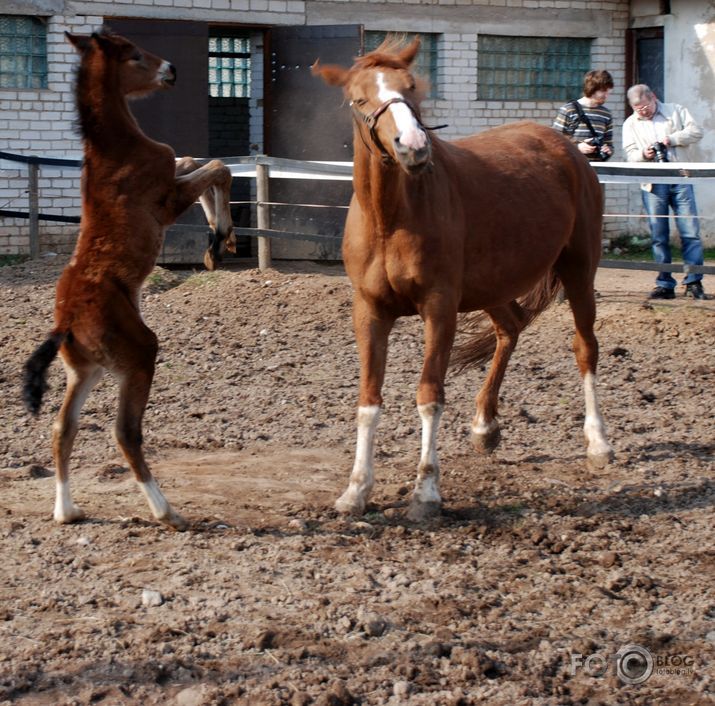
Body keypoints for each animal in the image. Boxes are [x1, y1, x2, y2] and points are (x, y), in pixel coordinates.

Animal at [21, 31, 235, 528]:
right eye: (136, 55)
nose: (172, 69)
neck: (115, 150)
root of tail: (65, 324)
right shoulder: (167, 199)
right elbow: (217, 166)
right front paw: (219, 238)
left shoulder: (173, 173)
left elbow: (195, 159)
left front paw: (217, 240)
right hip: (138, 356)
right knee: (124, 432)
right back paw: (166, 511)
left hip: (88, 370)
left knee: (62, 428)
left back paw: (66, 509)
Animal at [316, 40, 620, 524]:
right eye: (359, 99)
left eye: (412, 89)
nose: (413, 147)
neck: (391, 218)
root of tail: (567, 148)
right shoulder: (369, 311)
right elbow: (368, 400)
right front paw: (356, 490)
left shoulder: (439, 307)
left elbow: (429, 395)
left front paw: (425, 493)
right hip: (492, 288)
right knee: (510, 329)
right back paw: (485, 427)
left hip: (578, 269)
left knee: (585, 348)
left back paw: (598, 443)